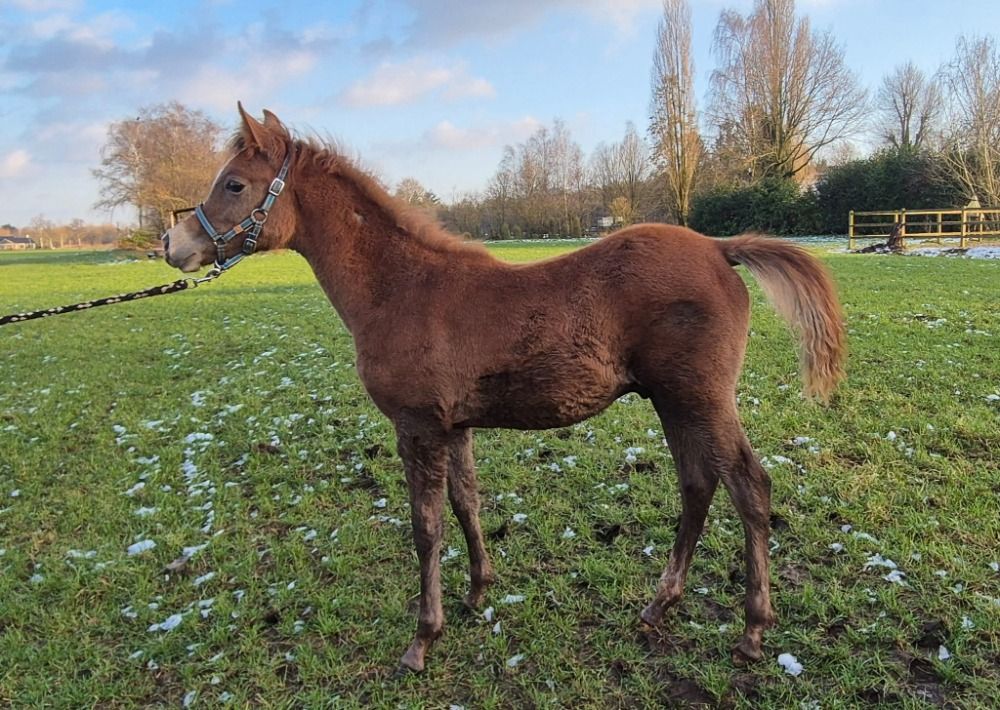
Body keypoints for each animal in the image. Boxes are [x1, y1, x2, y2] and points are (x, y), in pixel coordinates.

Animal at [161, 105, 846, 673]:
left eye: (234, 184)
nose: (174, 245)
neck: (402, 288)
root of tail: (719, 248)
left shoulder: (417, 427)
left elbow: (425, 526)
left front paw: (422, 639)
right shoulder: (454, 426)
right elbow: (467, 504)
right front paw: (476, 592)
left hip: (699, 399)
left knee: (749, 487)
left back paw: (752, 632)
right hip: (674, 402)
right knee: (698, 485)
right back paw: (658, 607)